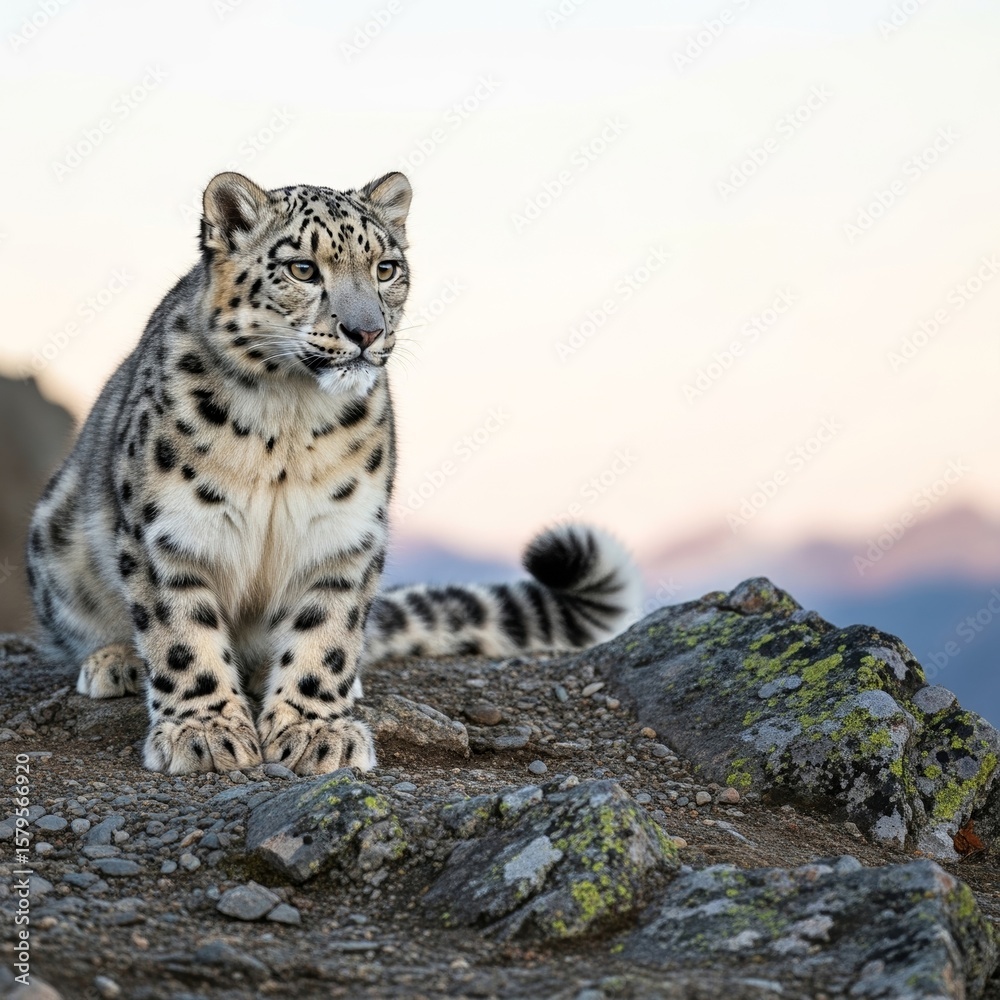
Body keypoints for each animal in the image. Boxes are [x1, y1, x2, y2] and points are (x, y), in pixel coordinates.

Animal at [24, 170, 643, 777]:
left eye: (385, 268)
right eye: (302, 268)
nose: (365, 332)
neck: (287, 420)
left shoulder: (344, 532)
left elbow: (326, 633)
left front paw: (315, 731)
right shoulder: (170, 528)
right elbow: (181, 633)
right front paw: (204, 732)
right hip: (57, 537)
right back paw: (116, 662)